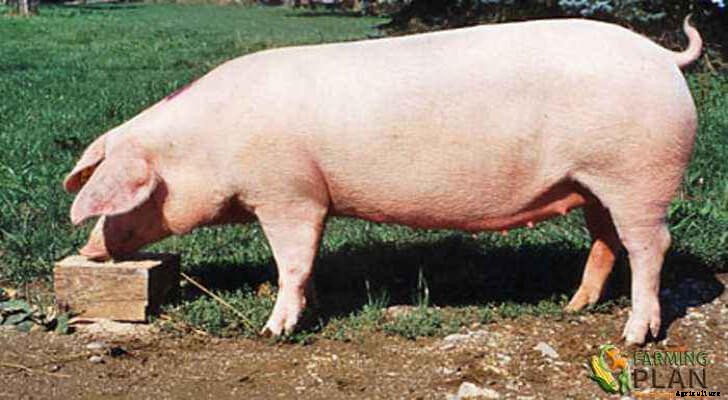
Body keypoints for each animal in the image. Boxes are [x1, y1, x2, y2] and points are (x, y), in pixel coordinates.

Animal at [64, 16, 702, 345]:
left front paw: (274, 331)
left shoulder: (289, 193)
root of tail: (663, 58)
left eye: (123, 199)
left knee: (651, 245)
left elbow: (292, 260)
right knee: (607, 240)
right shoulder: (305, 200)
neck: (207, 146)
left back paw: (634, 336)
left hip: (638, 177)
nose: (88, 249)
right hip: (593, 184)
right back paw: (574, 308)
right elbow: (305, 264)